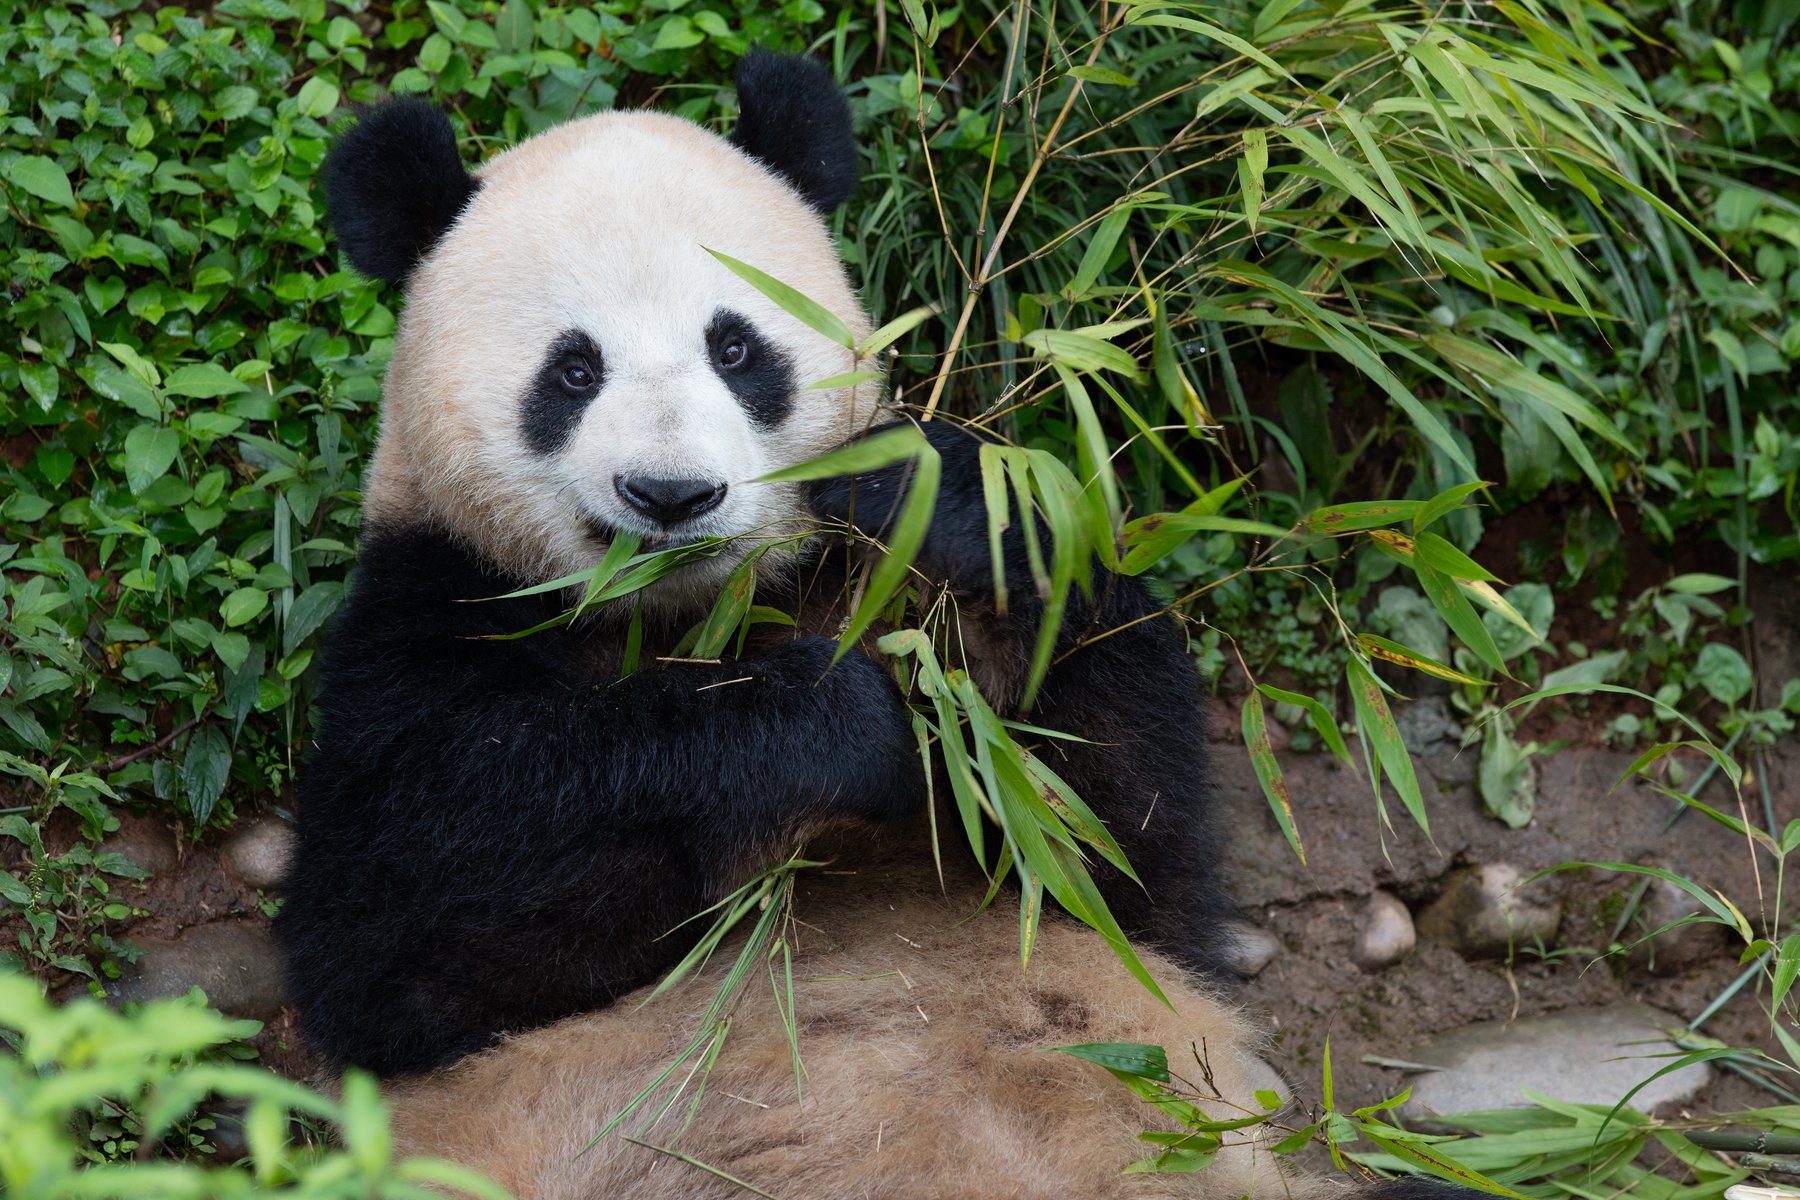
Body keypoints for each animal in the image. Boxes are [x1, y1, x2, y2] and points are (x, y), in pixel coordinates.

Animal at [284, 49, 1461, 1200]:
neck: (701, 615)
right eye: (573, 371)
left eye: (737, 350)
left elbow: (1117, 841)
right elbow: (415, 936)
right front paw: (832, 722)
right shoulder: (429, 613)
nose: (671, 495)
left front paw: (936, 502)